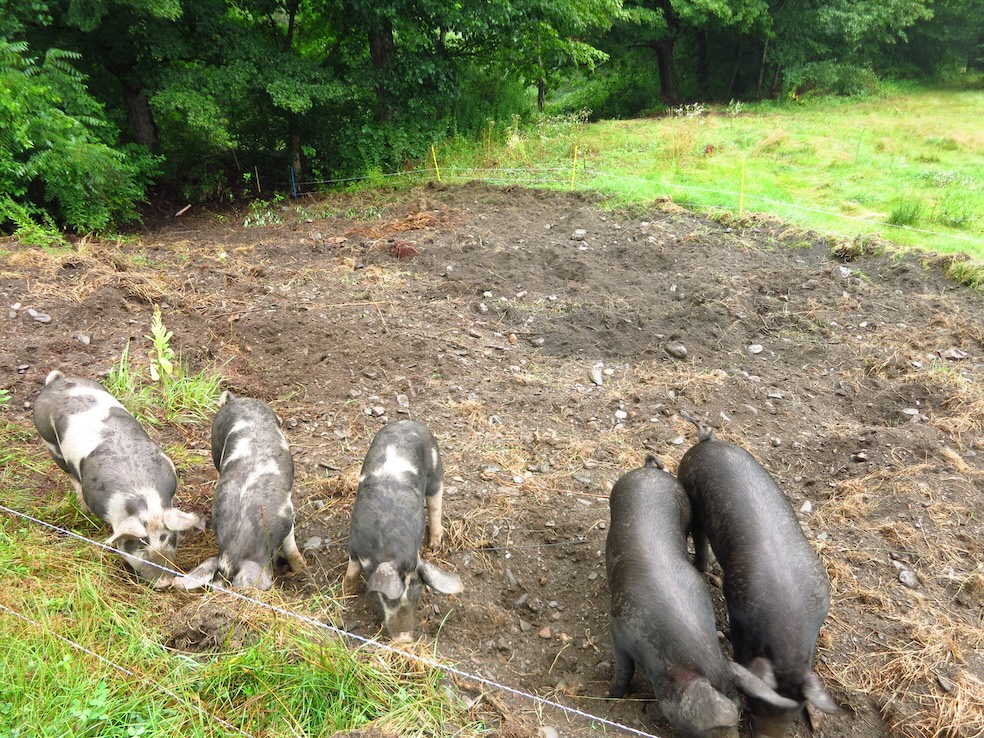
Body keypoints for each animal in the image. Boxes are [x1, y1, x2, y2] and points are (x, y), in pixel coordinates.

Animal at [32, 370, 200, 587]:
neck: (142, 496)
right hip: (50, 442)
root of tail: (58, 381)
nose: (164, 582)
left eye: (170, 539)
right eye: (139, 545)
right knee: (70, 474)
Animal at [343, 420, 462, 641]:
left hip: (436, 472)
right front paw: (346, 590)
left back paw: (434, 545)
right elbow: (352, 570)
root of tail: (409, 422)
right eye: (390, 599)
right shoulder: (354, 543)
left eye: (418, 593)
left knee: (435, 505)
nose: (405, 639)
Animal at [607, 456, 799, 738]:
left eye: (740, 711)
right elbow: (624, 669)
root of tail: (649, 471)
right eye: (712, 729)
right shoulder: (620, 630)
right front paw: (609, 695)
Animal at [676, 416, 839, 737]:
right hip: (689, 487)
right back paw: (704, 568)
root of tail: (707, 442)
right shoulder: (738, 611)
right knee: (699, 536)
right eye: (757, 705)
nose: (767, 735)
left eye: (795, 712)